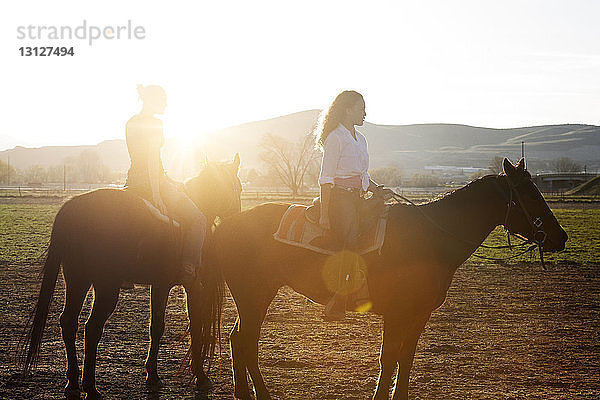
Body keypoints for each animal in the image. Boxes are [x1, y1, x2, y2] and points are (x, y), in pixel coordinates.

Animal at [19, 155, 243, 398]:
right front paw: (200, 376)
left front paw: (152, 375)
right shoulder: (193, 286)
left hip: (78, 281)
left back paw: (72, 382)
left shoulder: (160, 285)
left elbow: (156, 327)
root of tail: (74, 206)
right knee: (92, 328)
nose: (236, 221)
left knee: (68, 322)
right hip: (106, 288)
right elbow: (196, 325)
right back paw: (90, 386)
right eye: (237, 187)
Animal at [207, 158, 568, 398]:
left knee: (237, 339)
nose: (560, 237)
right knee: (246, 343)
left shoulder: (418, 315)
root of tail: (226, 223)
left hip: (254, 297)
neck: (428, 237)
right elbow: (389, 358)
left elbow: (405, 359)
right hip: (254, 296)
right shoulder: (395, 313)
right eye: (529, 194)